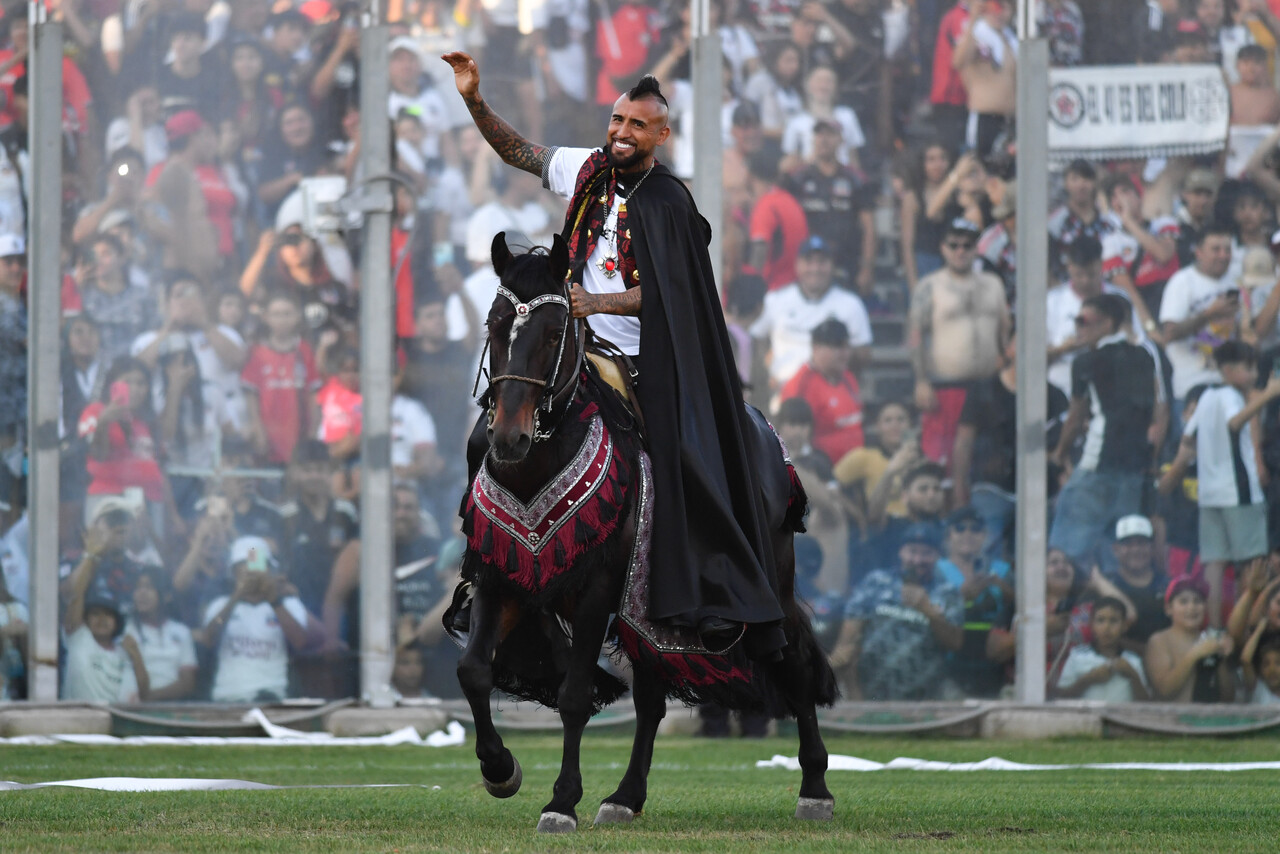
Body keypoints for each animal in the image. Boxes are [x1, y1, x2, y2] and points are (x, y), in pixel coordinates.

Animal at [453, 231, 839, 834]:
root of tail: (761, 428)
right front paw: (500, 770)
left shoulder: (598, 588)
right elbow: (473, 670)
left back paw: (816, 788)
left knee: (792, 659)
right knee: (654, 696)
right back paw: (625, 796)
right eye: (494, 324)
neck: (538, 462)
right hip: (653, 604)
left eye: (554, 332)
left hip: (769, 577)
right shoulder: (500, 576)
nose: (509, 438)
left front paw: (560, 802)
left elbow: (574, 695)